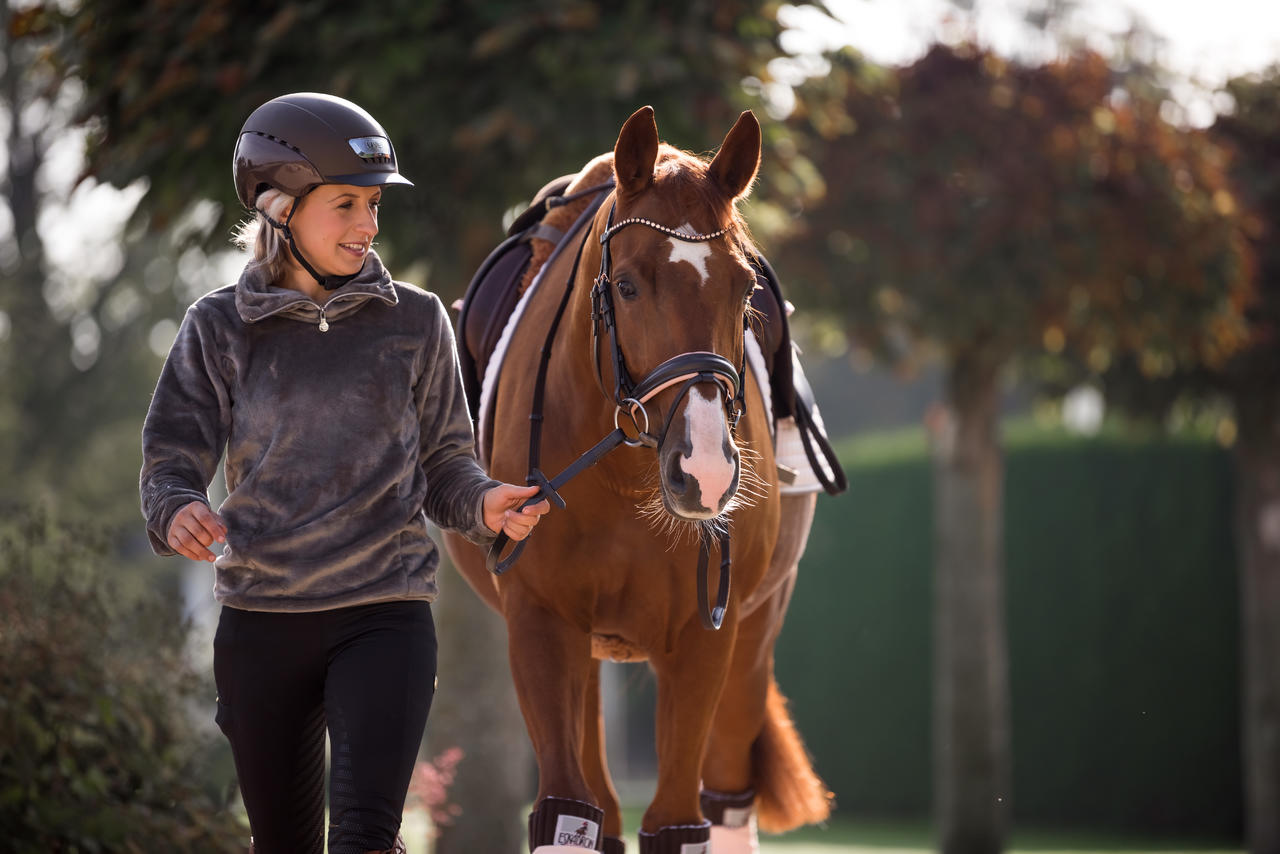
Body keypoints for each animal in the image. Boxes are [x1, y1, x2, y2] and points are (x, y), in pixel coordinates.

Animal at [448, 108, 829, 854]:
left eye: (746, 292)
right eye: (626, 285)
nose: (705, 469)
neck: (625, 478)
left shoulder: (707, 638)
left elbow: (677, 822)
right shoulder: (540, 625)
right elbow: (567, 809)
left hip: (754, 634)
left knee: (727, 802)